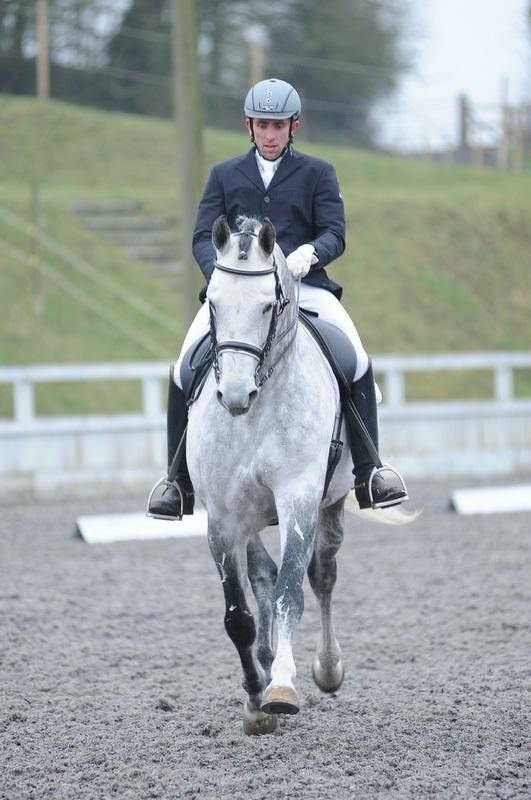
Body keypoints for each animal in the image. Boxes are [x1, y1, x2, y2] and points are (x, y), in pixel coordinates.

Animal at [186, 215, 408, 735]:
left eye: (268, 305)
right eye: (213, 302)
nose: (235, 395)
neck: (256, 410)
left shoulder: (299, 499)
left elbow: (292, 592)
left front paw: (282, 689)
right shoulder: (222, 518)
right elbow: (238, 614)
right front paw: (254, 699)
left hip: (329, 503)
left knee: (321, 576)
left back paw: (325, 669)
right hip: (249, 518)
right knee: (262, 577)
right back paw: (265, 665)